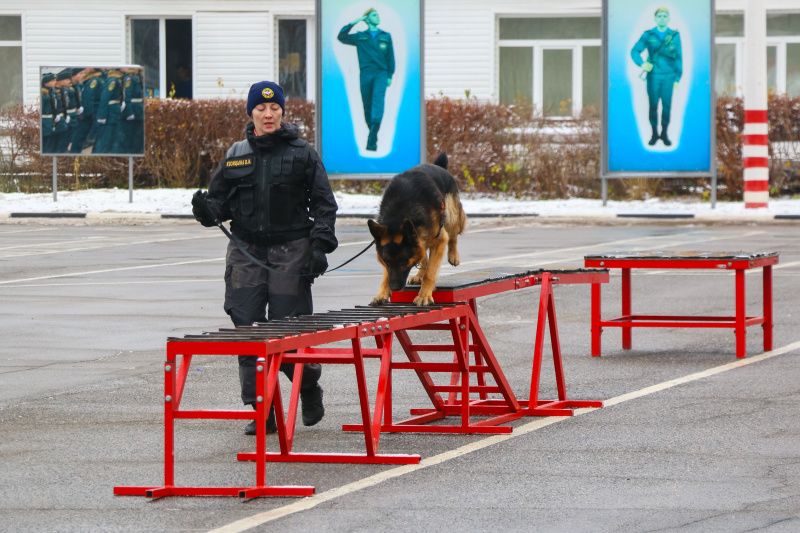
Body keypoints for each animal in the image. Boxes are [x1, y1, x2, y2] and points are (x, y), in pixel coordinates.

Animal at [368, 152, 466, 306]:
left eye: (403, 261)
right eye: (387, 262)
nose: (394, 287)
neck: (398, 215)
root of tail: (438, 166)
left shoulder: (440, 240)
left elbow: (430, 273)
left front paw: (424, 295)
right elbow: (388, 273)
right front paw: (382, 293)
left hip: (450, 216)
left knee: (453, 236)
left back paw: (453, 255)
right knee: (423, 256)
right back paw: (420, 274)